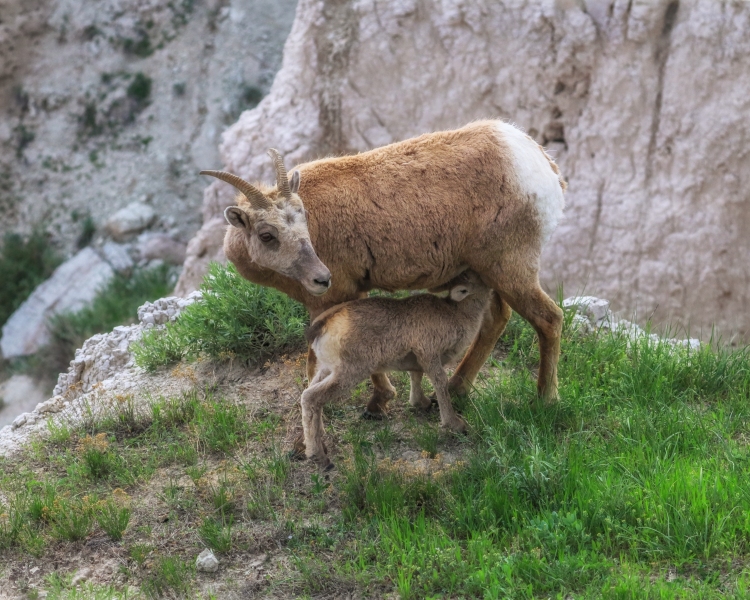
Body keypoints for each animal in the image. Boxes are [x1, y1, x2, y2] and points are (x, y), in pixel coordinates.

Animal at [203, 120, 568, 414]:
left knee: (548, 318)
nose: (321, 277)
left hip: (510, 267)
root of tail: (540, 162)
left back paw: (546, 400)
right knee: (496, 320)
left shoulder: (333, 297)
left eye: (303, 219)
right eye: (267, 235)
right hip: (487, 273)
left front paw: (376, 404)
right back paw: (455, 389)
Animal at [306, 270, 494, 468]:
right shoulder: (429, 354)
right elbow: (440, 383)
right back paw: (318, 456)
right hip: (348, 372)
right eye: (477, 280)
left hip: (326, 368)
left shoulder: (417, 360)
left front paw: (421, 403)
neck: (457, 314)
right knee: (310, 397)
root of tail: (321, 325)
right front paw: (455, 424)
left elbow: (416, 376)